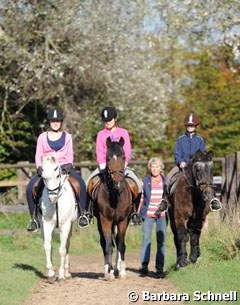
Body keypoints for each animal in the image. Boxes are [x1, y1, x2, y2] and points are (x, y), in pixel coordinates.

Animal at [89, 137, 137, 280]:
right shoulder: (105, 220)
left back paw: (117, 268)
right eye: (108, 158)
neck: (115, 195)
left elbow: (121, 245)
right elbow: (108, 245)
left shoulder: (123, 220)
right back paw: (108, 269)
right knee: (104, 243)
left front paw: (122, 272)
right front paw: (109, 273)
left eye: (123, 156)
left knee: (117, 241)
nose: (117, 182)